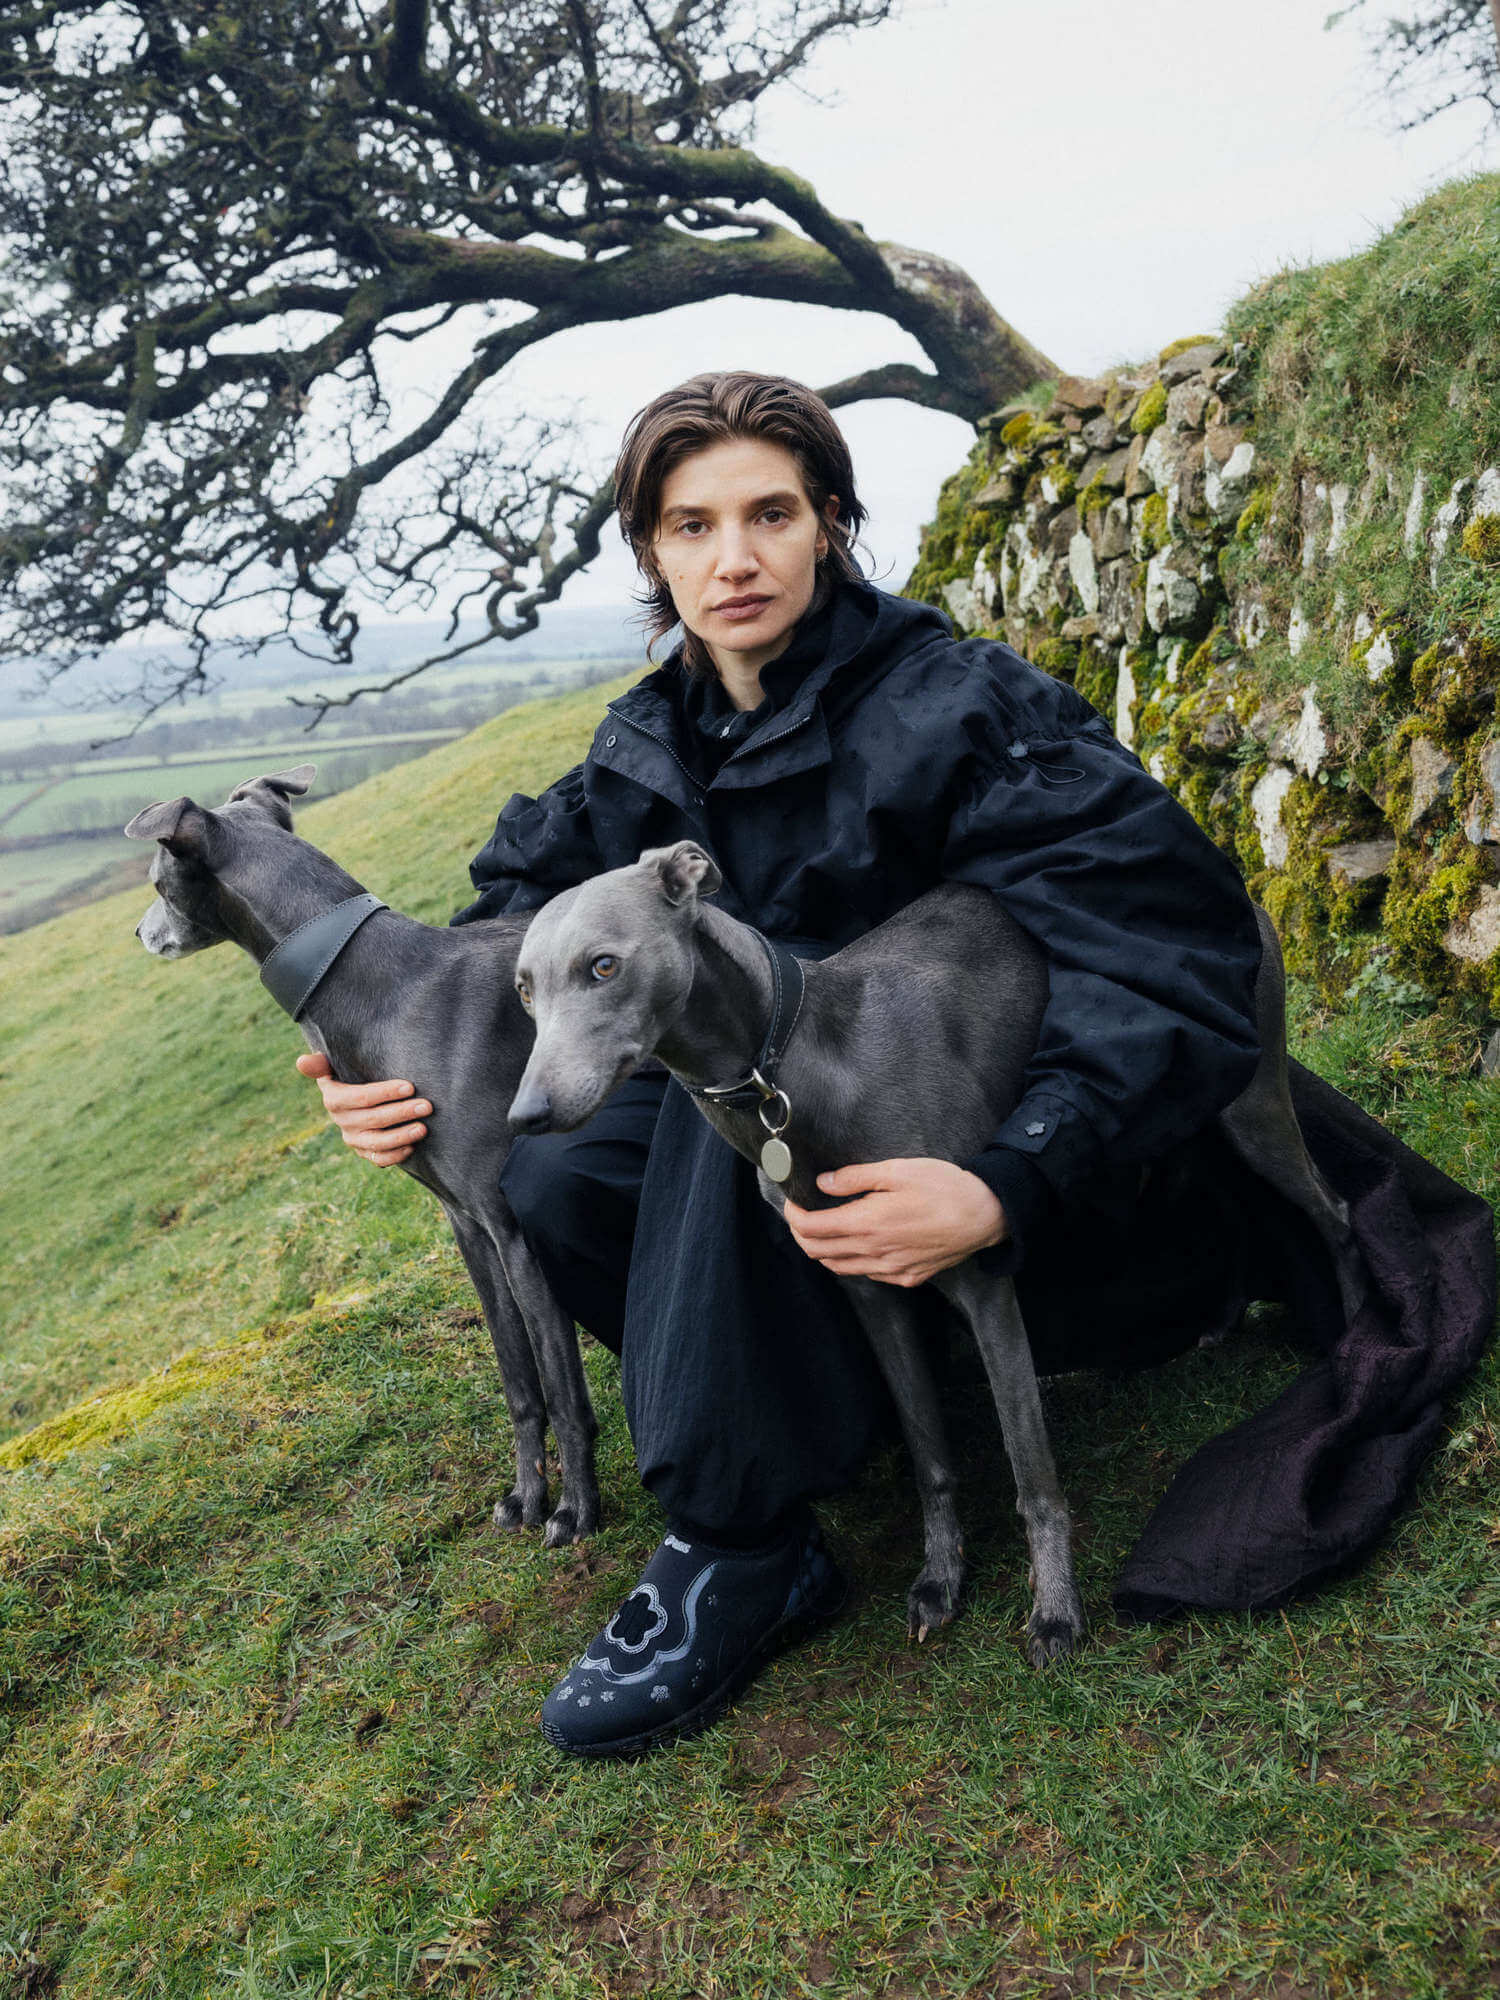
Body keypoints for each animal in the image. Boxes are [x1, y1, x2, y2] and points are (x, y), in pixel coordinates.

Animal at [125, 765, 600, 1546]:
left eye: (158, 881)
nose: (138, 930)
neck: (388, 987)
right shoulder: (468, 1225)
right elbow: (517, 1378)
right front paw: (528, 1495)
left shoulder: (513, 1227)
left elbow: (561, 1387)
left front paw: (575, 1509)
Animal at [506, 841, 1365, 1664]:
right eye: (523, 991)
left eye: (603, 965)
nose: (524, 1117)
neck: (808, 1061)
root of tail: (1230, 874)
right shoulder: (870, 1290)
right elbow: (930, 1456)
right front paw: (941, 1578)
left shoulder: (981, 1276)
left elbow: (1031, 1472)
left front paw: (1056, 1610)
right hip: (1189, 1112)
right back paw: (1222, 1314)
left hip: (1250, 1095)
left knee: (1336, 1212)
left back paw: (1354, 1340)